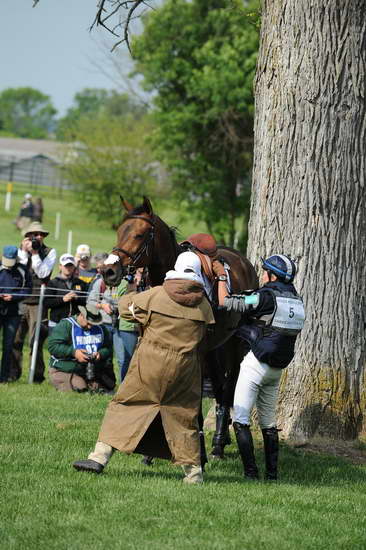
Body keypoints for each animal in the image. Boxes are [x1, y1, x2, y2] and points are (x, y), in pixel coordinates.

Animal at [101, 197, 258, 462]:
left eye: (139, 234)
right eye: (120, 231)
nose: (107, 271)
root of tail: (244, 261)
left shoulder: (194, 352)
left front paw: (198, 453)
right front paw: (149, 450)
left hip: (233, 344)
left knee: (229, 388)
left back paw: (217, 445)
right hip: (214, 349)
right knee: (219, 387)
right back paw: (220, 440)